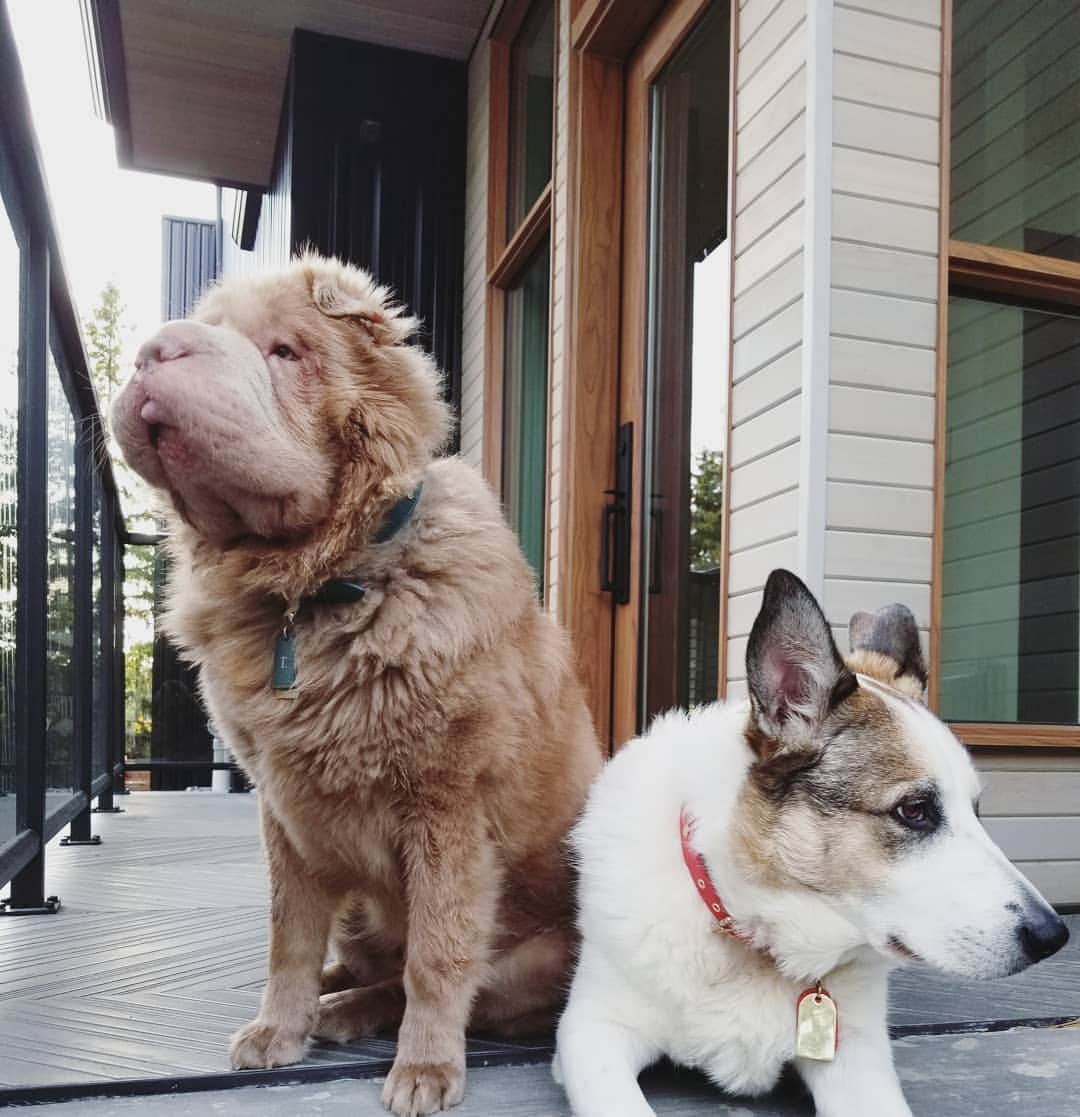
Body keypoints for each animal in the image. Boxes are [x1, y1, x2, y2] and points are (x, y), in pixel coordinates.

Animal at [112, 255, 603, 1117]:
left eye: (284, 350)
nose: (155, 350)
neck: (316, 589)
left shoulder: (448, 809)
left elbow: (436, 957)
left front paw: (424, 1070)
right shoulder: (286, 811)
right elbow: (289, 936)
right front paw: (279, 1028)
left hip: (534, 956)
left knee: (434, 984)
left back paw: (349, 1013)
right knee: (362, 957)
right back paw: (334, 994)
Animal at [560, 571, 1067, 1112]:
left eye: (976, 809)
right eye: (914, 811)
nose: (1054, 937)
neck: (758, 934)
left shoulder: (858, 1059)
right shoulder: (592, 1030)